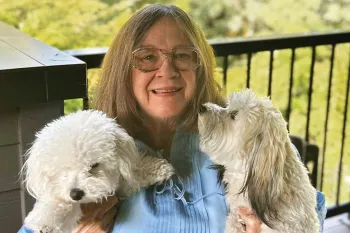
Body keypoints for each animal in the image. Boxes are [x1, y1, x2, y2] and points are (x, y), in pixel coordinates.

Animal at [21, 110, 175, 233]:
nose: (76, 194)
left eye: (94, 165)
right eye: (63, 169)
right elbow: (56, 201)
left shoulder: (120, 187)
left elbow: (133, 174)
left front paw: (158, 168)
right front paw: (45, 222)